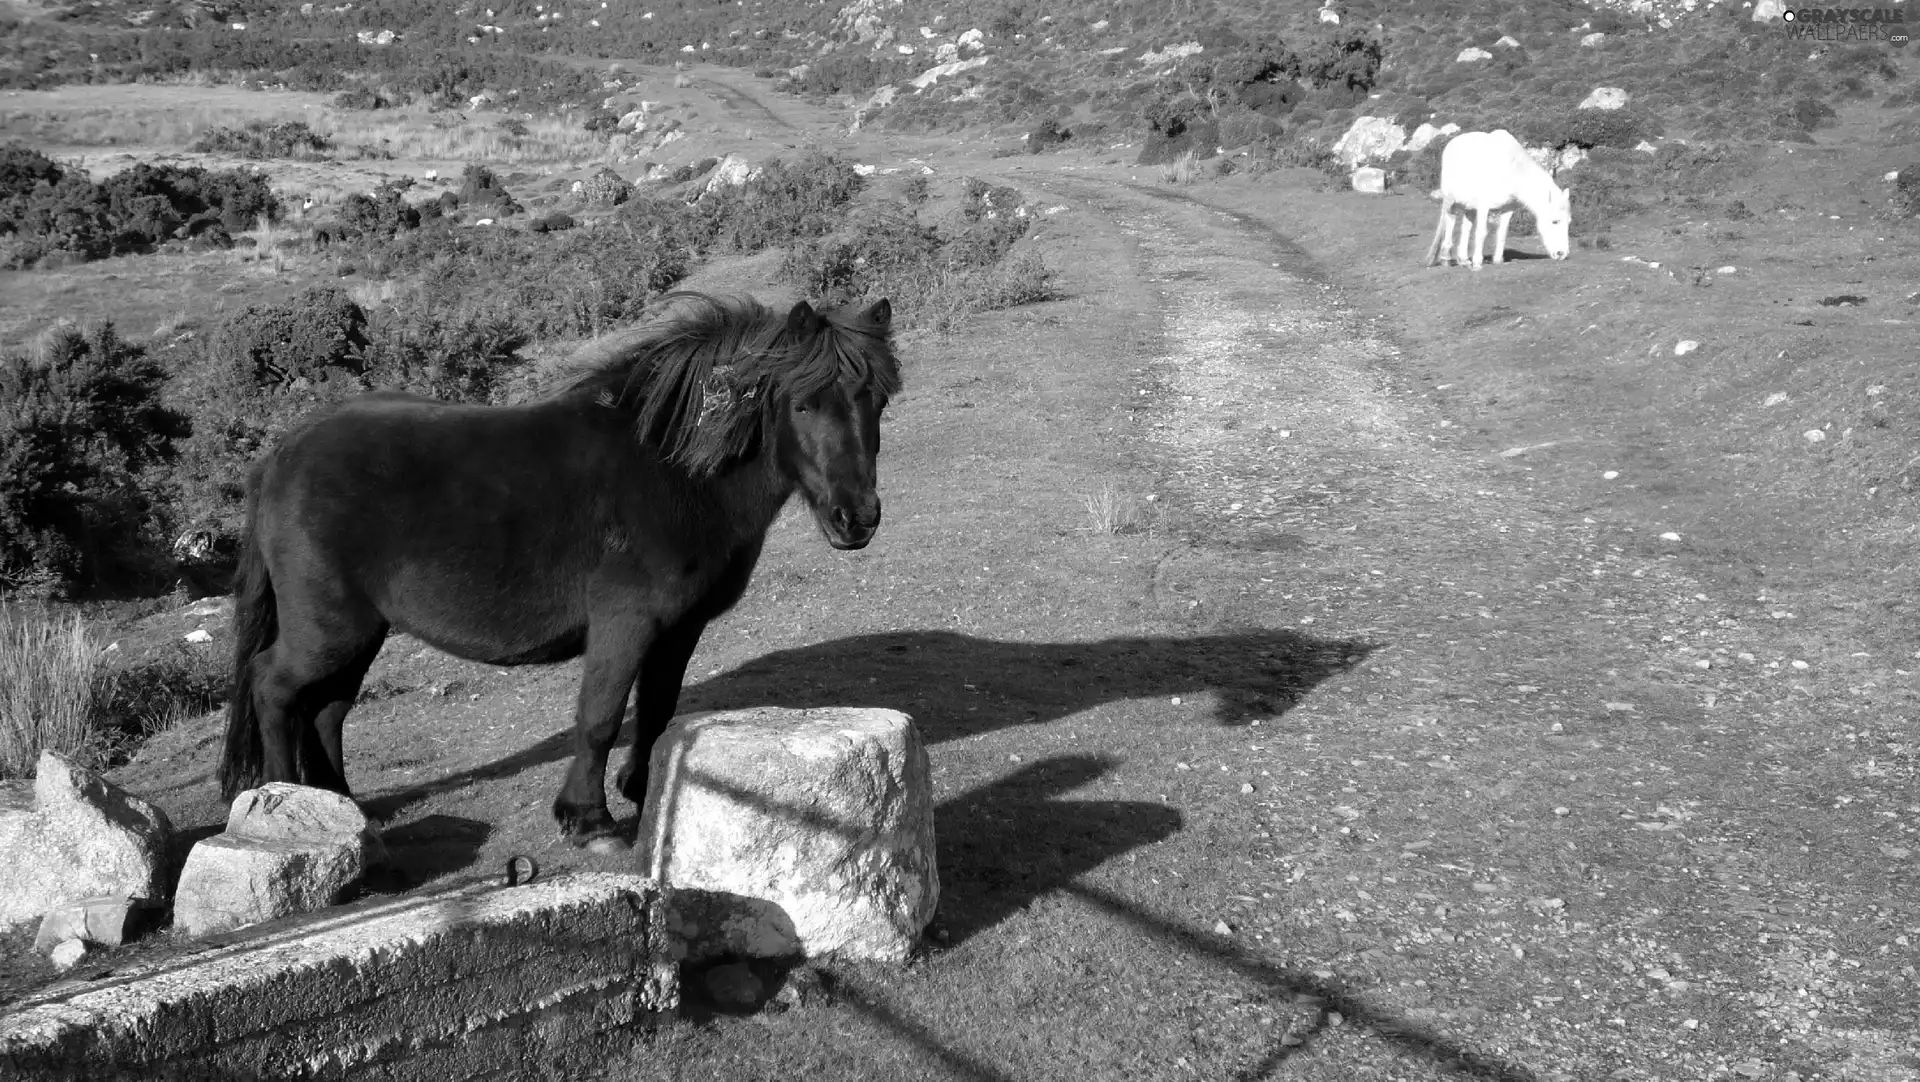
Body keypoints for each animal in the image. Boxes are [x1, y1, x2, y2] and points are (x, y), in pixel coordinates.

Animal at [217, 293, 898, 844]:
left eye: (878, 400)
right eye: (804, 405)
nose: (857, 519)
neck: (673, 469)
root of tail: (284, 452)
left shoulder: (679, 627)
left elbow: (656, 710)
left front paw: (644, 793)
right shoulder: (626, 621)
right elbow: (600, 716)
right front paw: (588, 820)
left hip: (359, 633)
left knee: (326, 709)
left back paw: (344, 807)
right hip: (329, 630)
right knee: (274, 688)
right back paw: (289, 804)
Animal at [1428, 128, 1574, 268]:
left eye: (1569, 222)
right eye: (1555, 221)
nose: (1562, 254)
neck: (1512, 172)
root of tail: (1452, 143)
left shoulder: (1507, 209)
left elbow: (1502, 233)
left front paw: (1497, 260)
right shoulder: (1483, 206)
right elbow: (1481, 233)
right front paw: (1477, 263)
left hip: (1469, 206)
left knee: (1466, 227)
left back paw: (1463, 260)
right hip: (1450, 200)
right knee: (1450, 221)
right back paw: (1445, 258)